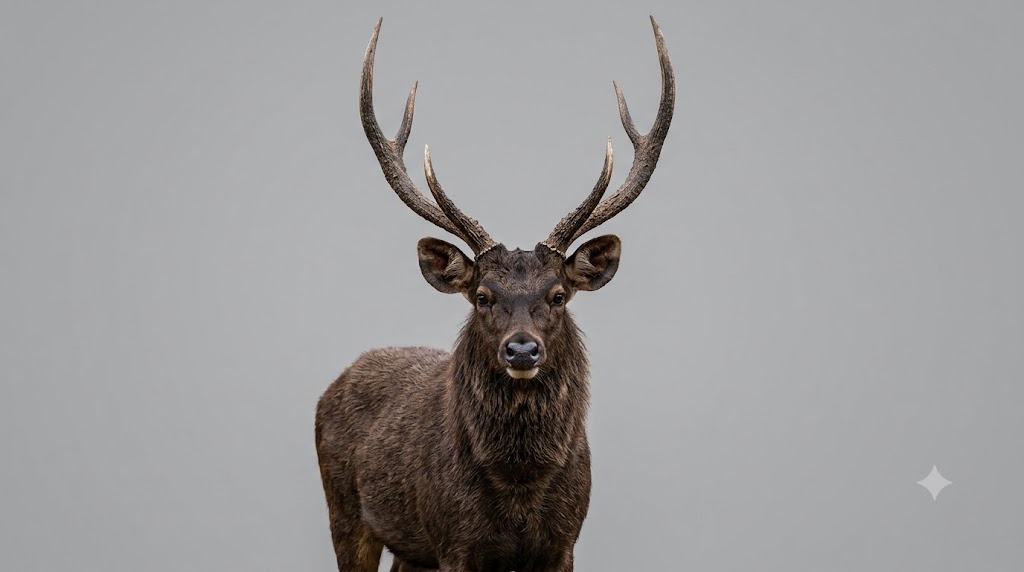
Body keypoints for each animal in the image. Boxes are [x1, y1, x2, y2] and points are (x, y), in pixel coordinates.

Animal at [315, 16, 675, 572]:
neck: (520, 484)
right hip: (346, 511)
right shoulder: (454, 542)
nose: (522, 349)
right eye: (482, 296)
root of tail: (331, 388)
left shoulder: (564, 542)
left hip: (409, 548)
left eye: (558, 295)